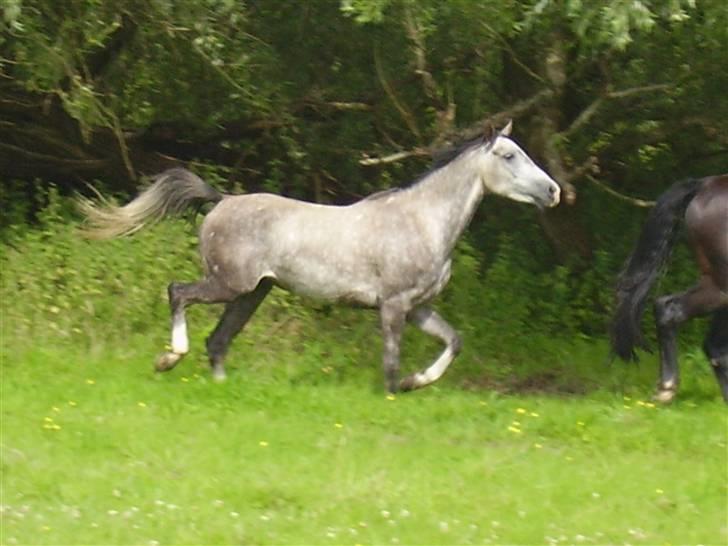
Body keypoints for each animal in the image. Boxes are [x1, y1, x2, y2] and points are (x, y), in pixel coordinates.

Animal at [84, 120, 564, 388]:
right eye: (508, 155)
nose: (554, 192)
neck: (422, 220)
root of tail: (221, 201)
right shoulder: (393, 306)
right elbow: (390, 365)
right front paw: (400, 388)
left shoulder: (418, 306)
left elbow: (454, 342)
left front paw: (419, 381)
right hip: (227, 284)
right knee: (177, 293)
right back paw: (168, 358)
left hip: (251, 293)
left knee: (218, 341)